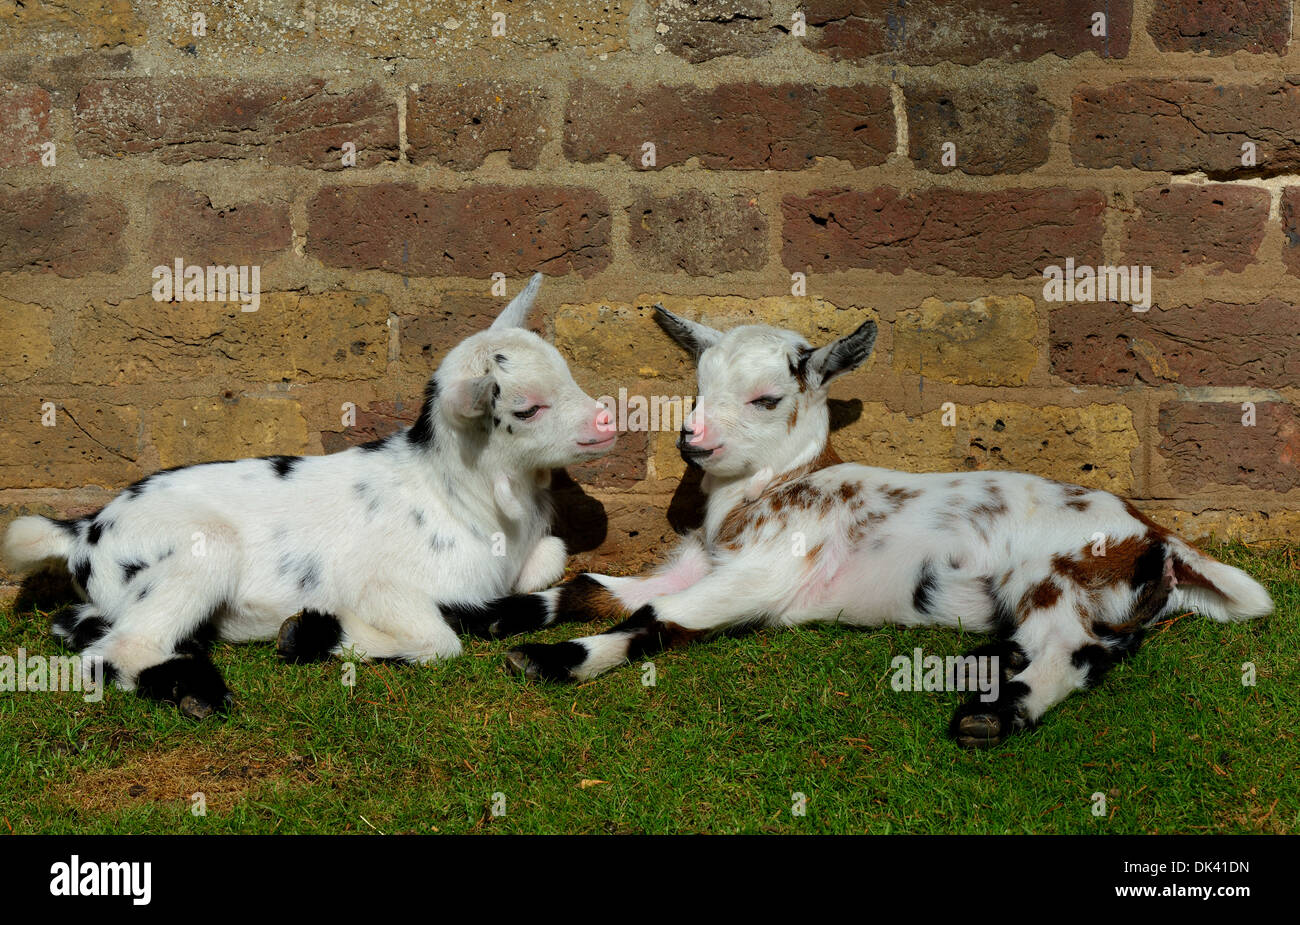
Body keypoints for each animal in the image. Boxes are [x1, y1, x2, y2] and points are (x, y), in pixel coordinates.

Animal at [2, 274, 616, 722]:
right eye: (526, 408)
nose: (608, 420)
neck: (462, 499)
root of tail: (83, 531)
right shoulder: (385, 586)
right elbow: (439, 642)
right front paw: (313, 634)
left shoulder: (530, 557)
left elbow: (552, 556)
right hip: (197, 553)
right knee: (120, 650)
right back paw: (198, 692)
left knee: (91, 626)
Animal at [483, 306, 1274, 748]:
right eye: (698, 385)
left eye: (767, 397)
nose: (693, 441)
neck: (776, 490)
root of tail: (1157, 537)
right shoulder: (703, 560)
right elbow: (593, 585)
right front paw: (496, 614)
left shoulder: (764, 575)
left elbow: (652, 617)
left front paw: (546, 660)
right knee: (1100, 649)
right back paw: (987, 668)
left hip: (1050, 572)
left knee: (1069, 651)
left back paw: (993, 716)